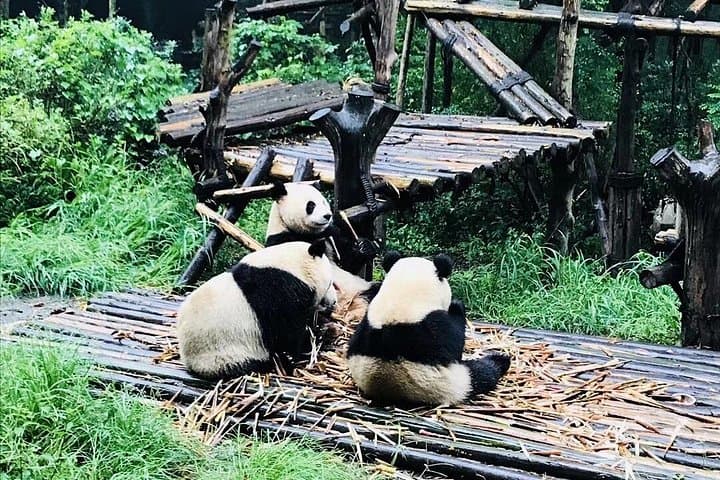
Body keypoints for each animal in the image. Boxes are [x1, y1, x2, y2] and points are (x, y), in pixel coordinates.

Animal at [176, 240, 337, 380]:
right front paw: (312, 342)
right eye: (330, 283)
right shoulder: (278, 291)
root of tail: (190, 364)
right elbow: (287, 332)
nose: (334, 302)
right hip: (225, 353)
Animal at [346, 251, 511, 406]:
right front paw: (457, 306)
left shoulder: (367, 320)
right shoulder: (435, 327)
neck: (406, 292)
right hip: (453, 382)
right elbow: (454, 344)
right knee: (483, 373)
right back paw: (500, 360)